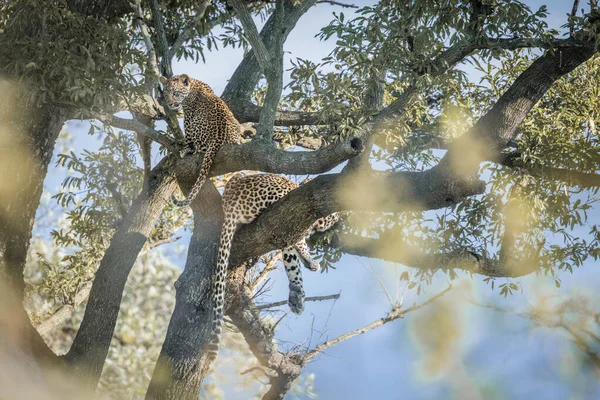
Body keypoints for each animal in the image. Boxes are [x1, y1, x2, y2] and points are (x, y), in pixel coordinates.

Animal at [163, 73, 243, 208]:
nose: (169, 103)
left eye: (175, 93)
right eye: (165, 92)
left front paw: (184, 147)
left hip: (196, 123)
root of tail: (218, 139)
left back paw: (187, 150)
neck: (193, 84)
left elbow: (187, 137)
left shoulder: (188, 115)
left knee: (197, 147)